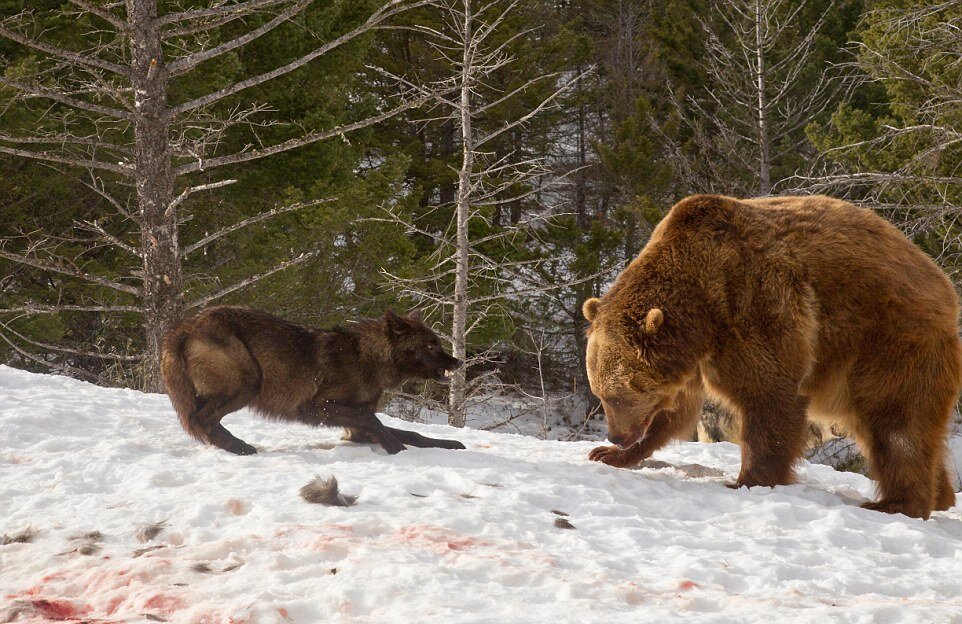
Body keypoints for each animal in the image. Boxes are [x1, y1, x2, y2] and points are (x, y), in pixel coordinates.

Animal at [580, 193, 956, 520]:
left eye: (617, 396)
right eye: (601, 395)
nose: (615, 435)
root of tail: (941, 281)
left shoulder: (754, 305)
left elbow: (769, 395)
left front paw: (748, 480)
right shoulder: (691, 358)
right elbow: (677, 412)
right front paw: (613, 454)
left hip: (889, 341)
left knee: (896, 424)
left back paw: (897, 503)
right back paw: (941, 497)